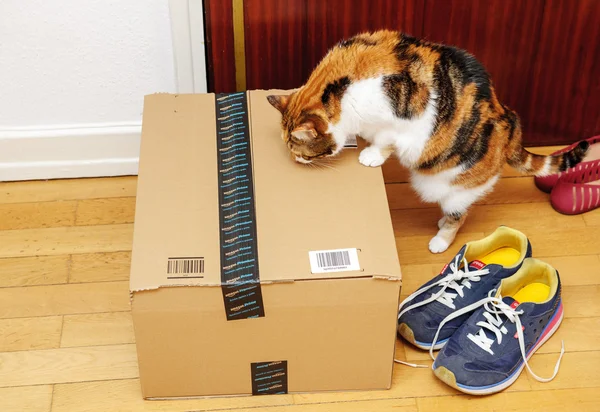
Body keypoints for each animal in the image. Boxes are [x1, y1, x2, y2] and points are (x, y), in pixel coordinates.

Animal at [266, 30, 584, 253]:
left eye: (303, 153)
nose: (296, 160)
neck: (340, 87)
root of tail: (511, 127)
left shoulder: (400, 123)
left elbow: (385, 140)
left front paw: (371, 155)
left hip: (454, 187)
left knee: (458, 216)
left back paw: (441, 240)